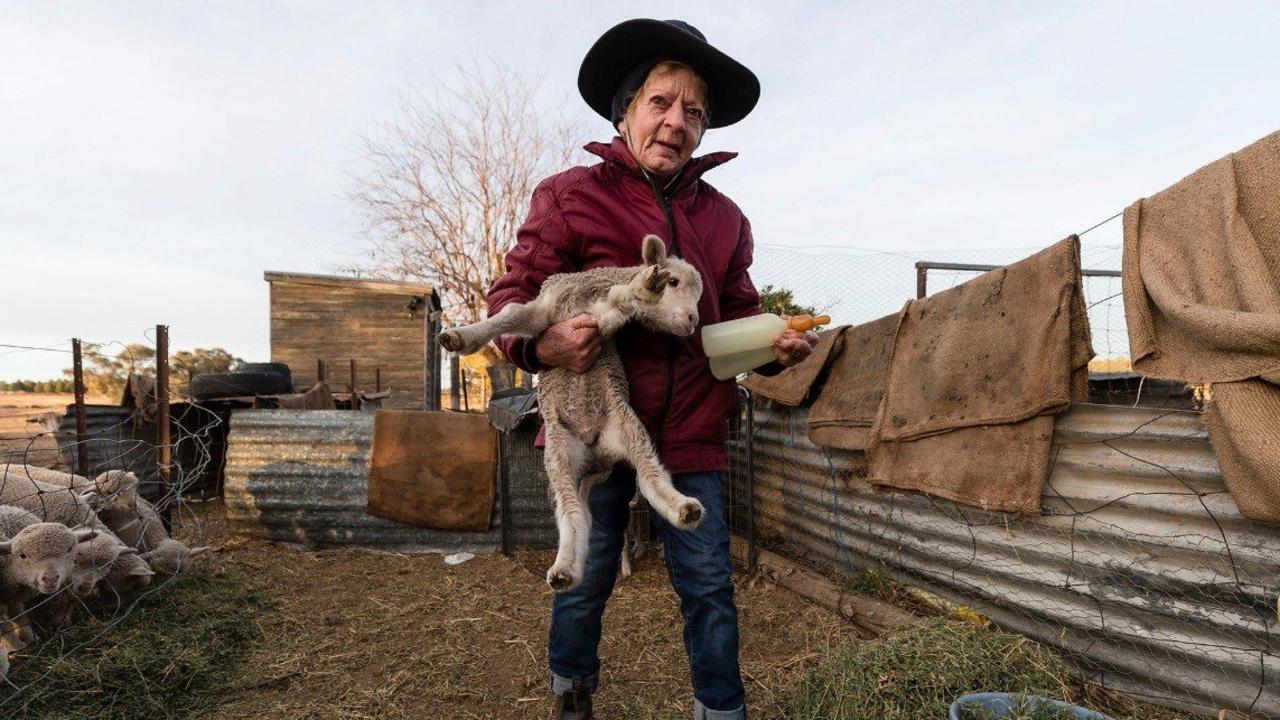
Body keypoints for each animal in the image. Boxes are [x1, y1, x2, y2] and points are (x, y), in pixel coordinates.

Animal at [0, 504, 96, 645]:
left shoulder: (13, 594)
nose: (50, 578)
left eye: (69, 549)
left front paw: (29, 638)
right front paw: (19, 647)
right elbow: (5, 627)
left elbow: (18, 615)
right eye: (22, 555)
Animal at [437, 235, 701, 589]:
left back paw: (684, 509)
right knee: (573, 513)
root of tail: (596, 460)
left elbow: (616, 305)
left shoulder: (599, 326)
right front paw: (459, 337)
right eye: (673, 282)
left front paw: (640, 289)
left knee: (649, 480)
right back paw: (565, 569)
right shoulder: (547, 313)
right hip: (560, 455)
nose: (693, 321)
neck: (589, 290)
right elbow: (509, 314)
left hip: (627, 431)